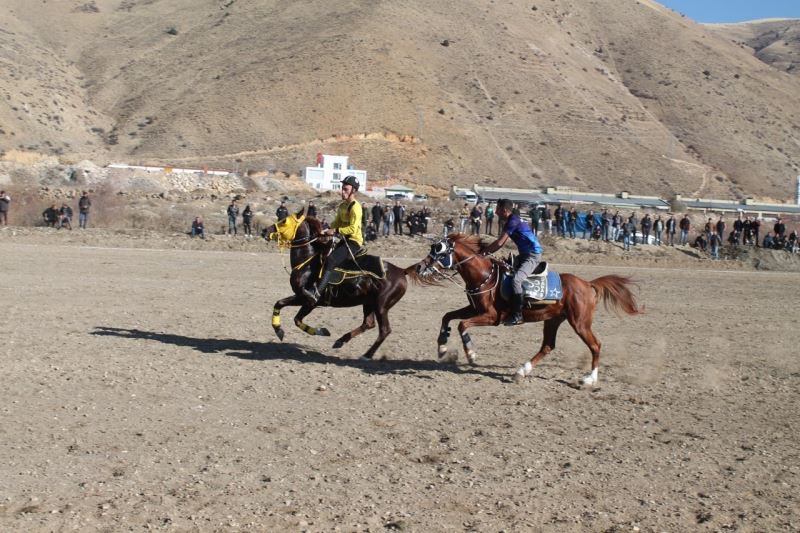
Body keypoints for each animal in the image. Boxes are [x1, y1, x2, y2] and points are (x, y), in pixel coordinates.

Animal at [266, 211, 416, 358]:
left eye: (284, 221)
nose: (265, 231)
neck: (307, 263)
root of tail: (402, 271)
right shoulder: (301, 298)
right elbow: (280, 304)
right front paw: (279, 330)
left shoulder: (310, 301)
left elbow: (296, 318)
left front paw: (322, 331)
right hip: (368, 303)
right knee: (368, 323)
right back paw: (341, 340)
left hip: (381, 306)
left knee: (384, 330)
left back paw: (367, 355)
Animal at [416, 233, 640, 382]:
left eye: (439, 251)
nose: (419, 267)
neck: (484, 276)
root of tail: (587, 284)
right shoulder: (474, 309)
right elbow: (447, 316)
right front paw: (442, 347)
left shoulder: (491, 316)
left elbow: (462, 324)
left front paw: (471, 354)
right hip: (553, 319)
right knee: (547, 346)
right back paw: (522, 371)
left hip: (580, 323)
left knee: (595, 345)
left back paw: (589, 379)